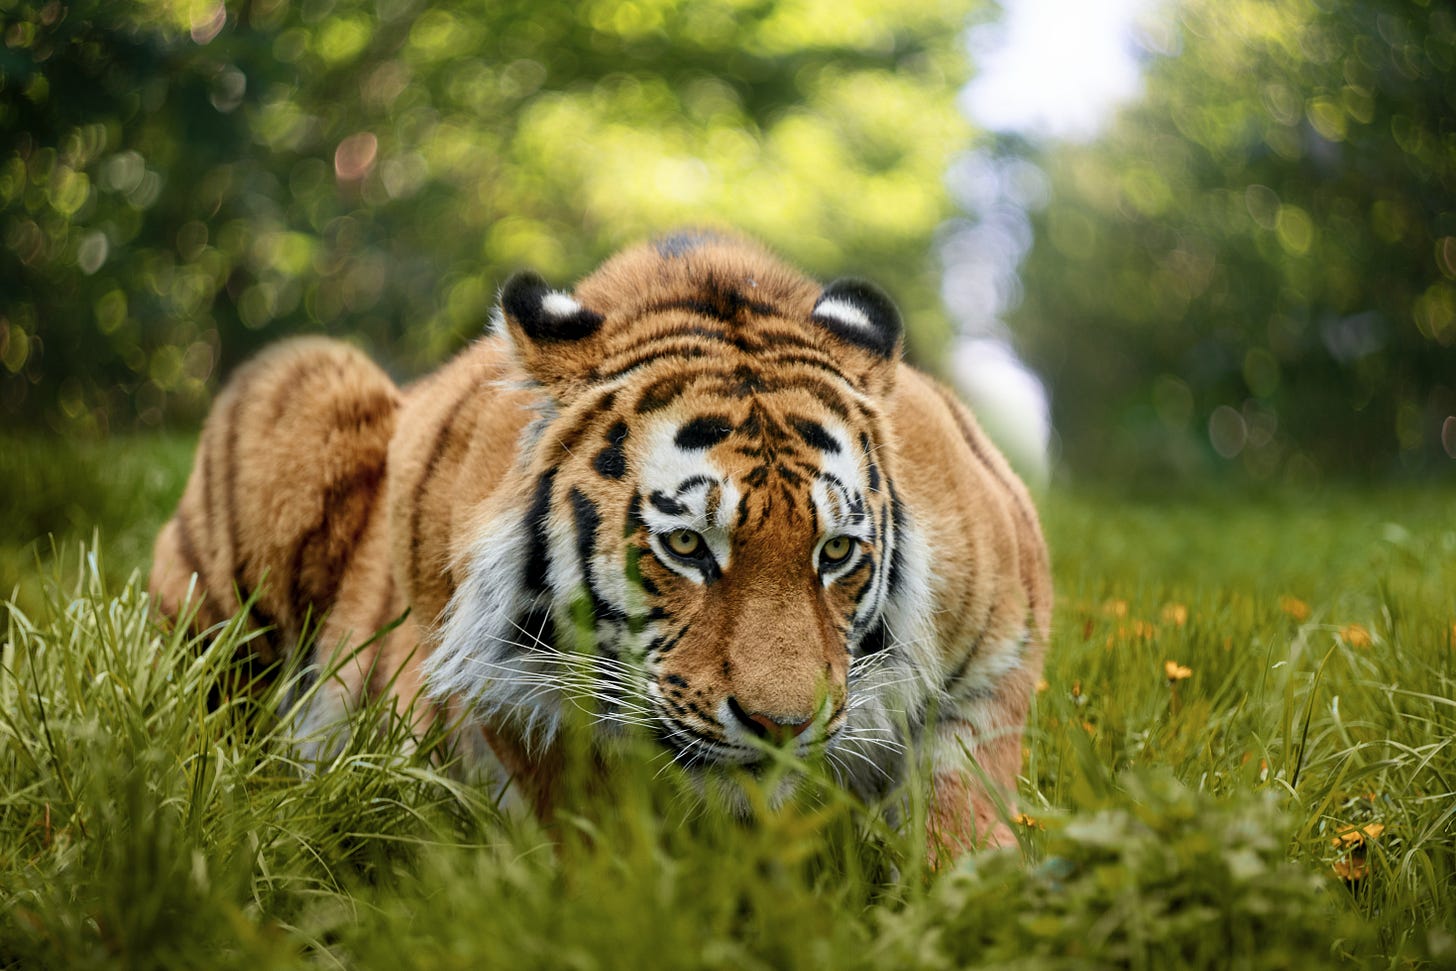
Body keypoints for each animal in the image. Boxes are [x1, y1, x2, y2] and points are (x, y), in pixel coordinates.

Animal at [149, 231, 1051, 857]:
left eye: (835, 553)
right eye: (686, 545)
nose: (781, 727)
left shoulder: (998, 649)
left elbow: (962, 819)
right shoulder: (494, 693)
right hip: (293, 394)